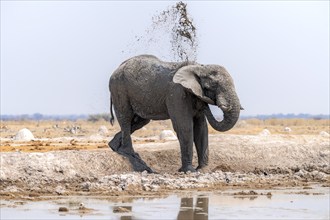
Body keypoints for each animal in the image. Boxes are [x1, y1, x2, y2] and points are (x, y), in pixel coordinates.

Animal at [108, 54, 242, 173]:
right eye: (212, 86)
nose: (205, 103)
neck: (198, 67)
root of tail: (116, 70)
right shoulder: (177, 94)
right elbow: (185, 127)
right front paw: (189, 171)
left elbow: (201, 128)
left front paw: (203, 169)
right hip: (119, 89)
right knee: (125, 118)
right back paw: (133, 157)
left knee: (139, 121)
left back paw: (114, 147)